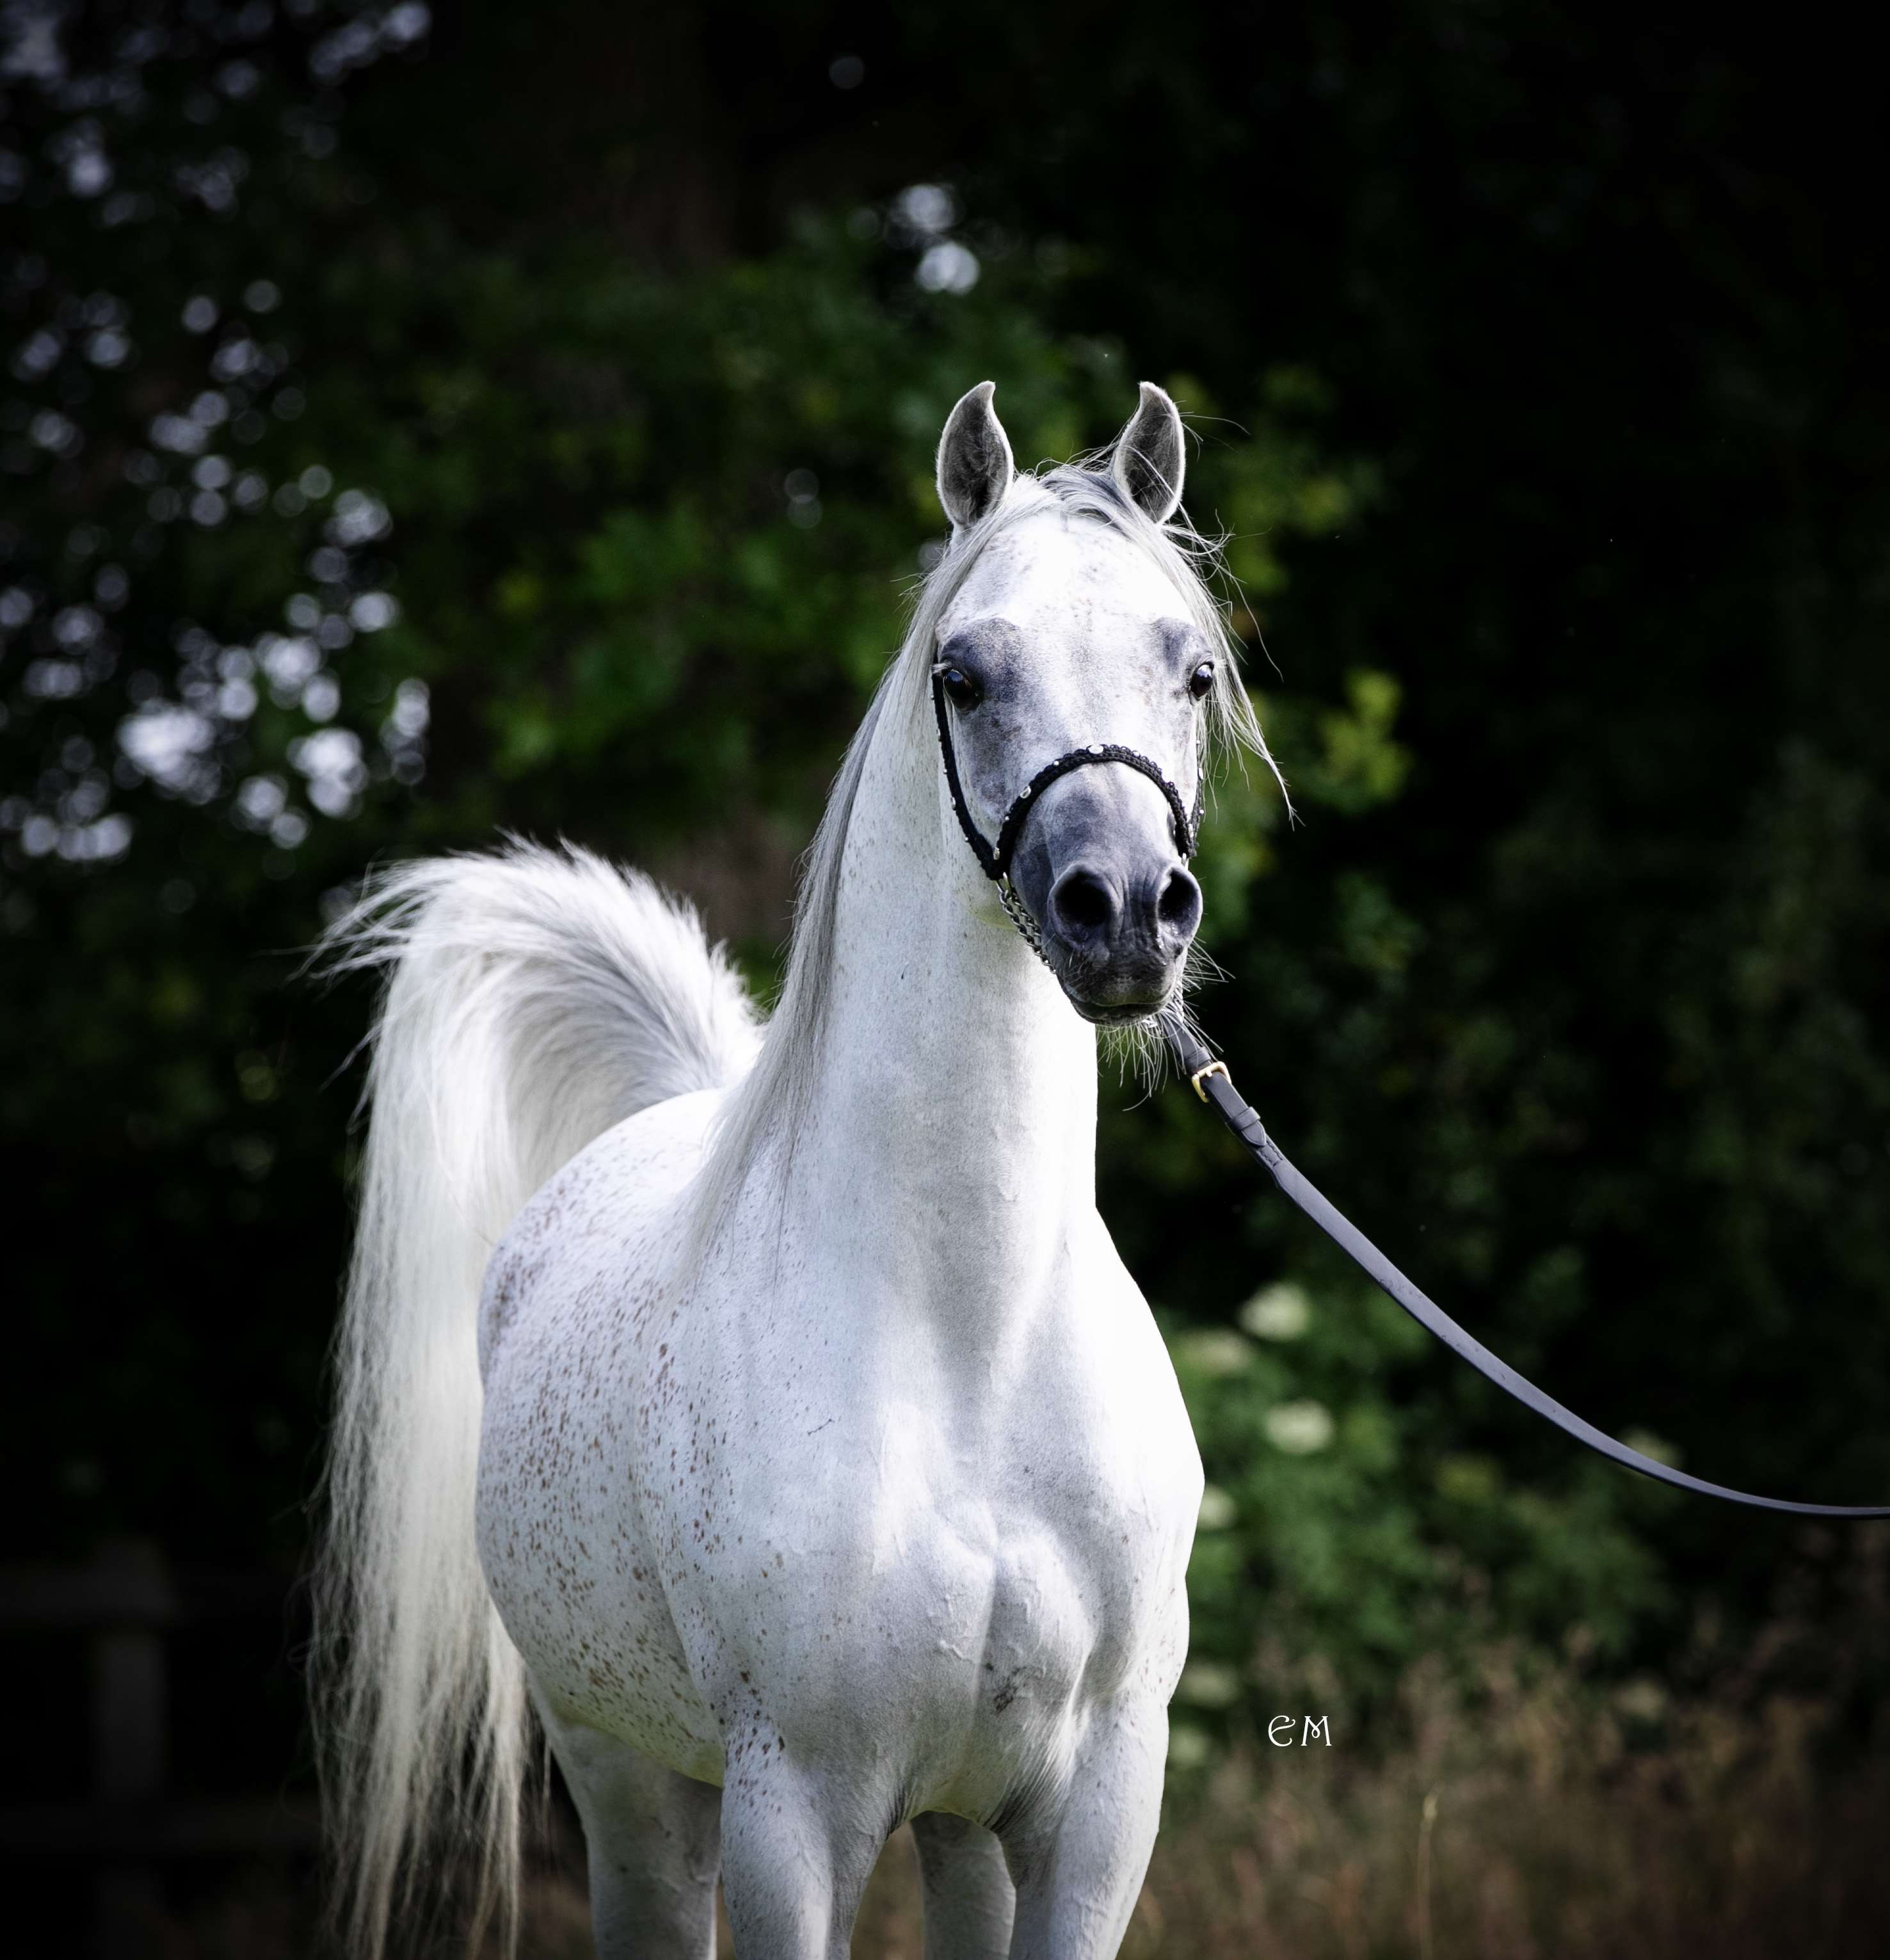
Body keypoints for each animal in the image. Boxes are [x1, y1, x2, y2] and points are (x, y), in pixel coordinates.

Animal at [315, 379, 1277, 1959]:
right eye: (964, 671)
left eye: (1191, 670)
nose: (1127, 910)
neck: (969, 1337)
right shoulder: (798, 1813)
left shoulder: (1094, 1810)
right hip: (631, 1786)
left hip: (956, 1830)